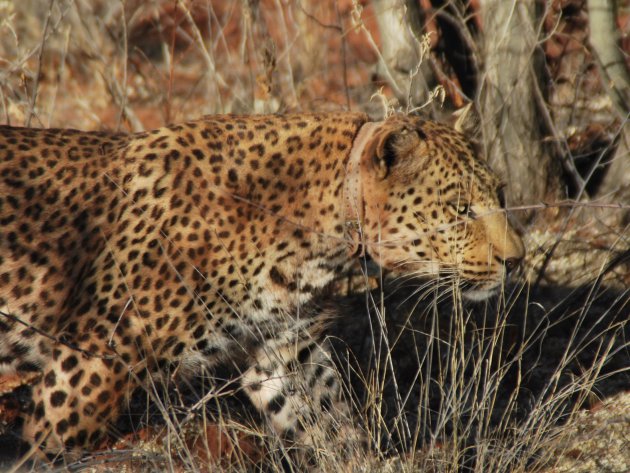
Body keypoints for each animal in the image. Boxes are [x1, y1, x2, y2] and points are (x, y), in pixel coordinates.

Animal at [0, 110, 524, 458]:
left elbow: (335, 430)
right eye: (460, 209)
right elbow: (48, 449)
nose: (516, 260)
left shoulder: (286, 357)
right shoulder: (86, 369)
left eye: (500, 195)